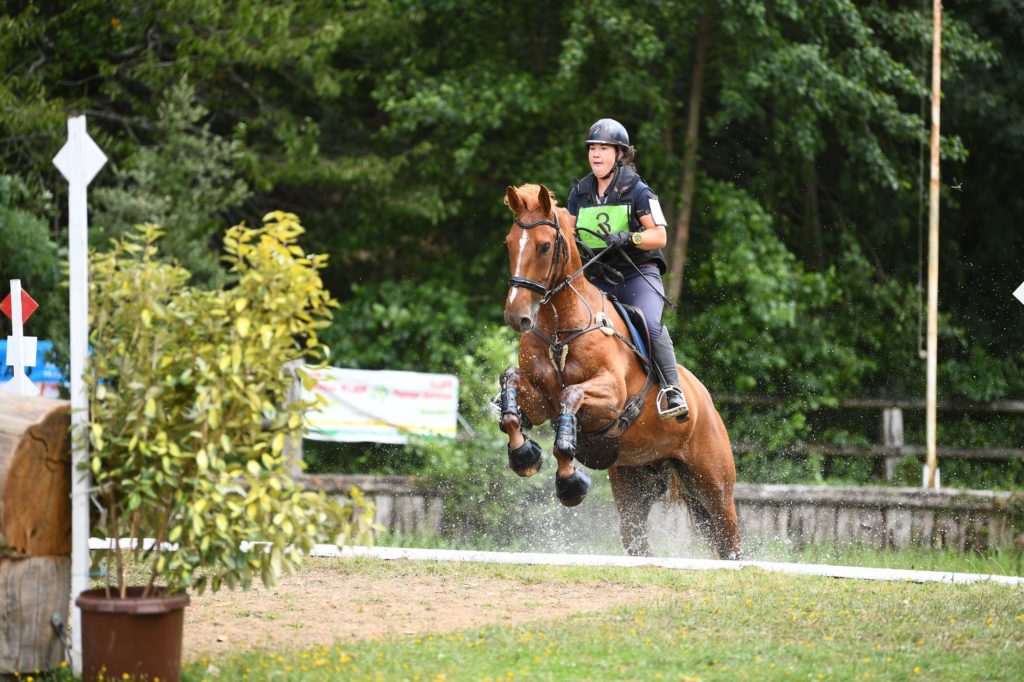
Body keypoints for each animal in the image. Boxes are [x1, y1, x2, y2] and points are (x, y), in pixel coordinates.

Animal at [499, 182, 741, 557]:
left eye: (544, 246)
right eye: (510, 243)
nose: (517, 316)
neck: (559, 328)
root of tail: (705, 398)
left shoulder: (610, 398)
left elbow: (571, 395)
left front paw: (569, 480)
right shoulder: (539, 402)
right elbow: (511, 387)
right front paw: (524, 455)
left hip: (714, 485)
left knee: (730, 543)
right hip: (634, 482)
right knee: (638, 543)